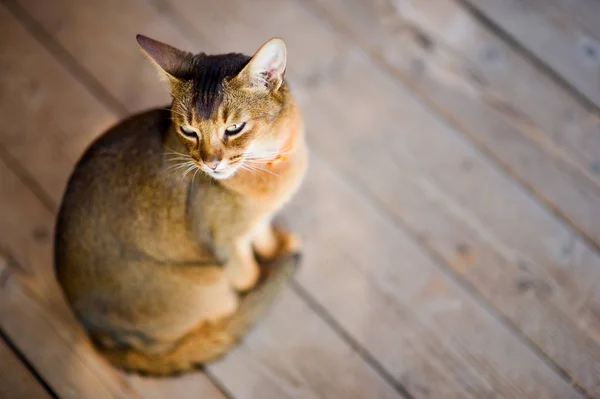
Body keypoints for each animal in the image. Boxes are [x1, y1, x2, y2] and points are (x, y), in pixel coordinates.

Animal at [52, 33, 310, 376]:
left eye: (234, 129)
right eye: (189, 131)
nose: (211, 163)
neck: (270, 163)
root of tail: (95, 336)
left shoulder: (258, 219)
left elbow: (263, 234)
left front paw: (277, 245)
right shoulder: (226, 242)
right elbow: (247, 272)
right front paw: (262, 275)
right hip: (210, 284)